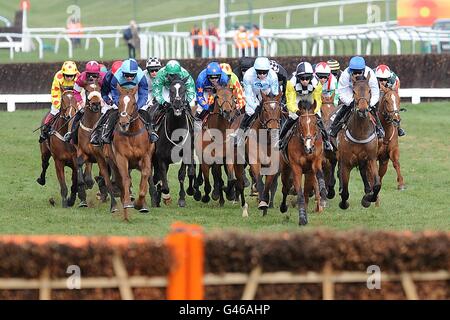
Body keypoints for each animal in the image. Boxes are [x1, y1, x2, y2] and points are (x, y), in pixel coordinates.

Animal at [74, 82, 118, 212]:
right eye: (87, 90)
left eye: (99, 89)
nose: (96, 104)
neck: (91, 128)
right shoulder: (83, 153)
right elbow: (79, 163)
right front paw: (82, 195)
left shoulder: (101, 156)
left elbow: (106, 178)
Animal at [107, 85, 155, 220]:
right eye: (119, 102)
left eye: (134, 103)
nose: (124, 123)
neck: (131, 134)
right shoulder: (121, 158)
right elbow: (126, 179)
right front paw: (128, 203)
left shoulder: (145, 157)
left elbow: (145, 176)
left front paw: (139, 204)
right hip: (111, 162)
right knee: (119, 181)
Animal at [153, 77, 195, 208]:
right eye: (171, 90)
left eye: (184, 90)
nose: (177, 104)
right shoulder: (160, 158)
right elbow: (163, 182)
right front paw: (164, 196)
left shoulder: (186, 154)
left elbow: (181, 175)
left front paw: (182, 198)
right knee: (156, 177)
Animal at [336, 74, 382, 210]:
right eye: (354, 91)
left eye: (370, 91)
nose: (362, 110)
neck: (360, 133)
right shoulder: (346, 162)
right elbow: (345, 191)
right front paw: (343, 203)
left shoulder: (371, 159)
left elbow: (377, 184)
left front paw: (368, 198)